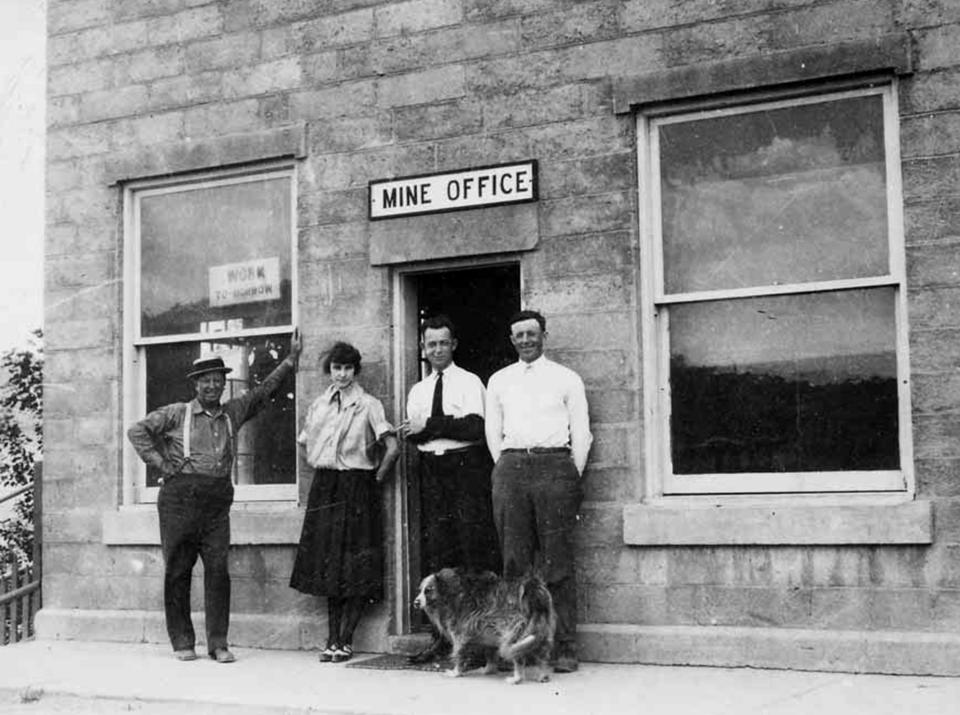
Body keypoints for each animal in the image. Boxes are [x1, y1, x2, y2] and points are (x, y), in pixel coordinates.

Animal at [410, 568, 556, 684]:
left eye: (428, 590)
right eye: (420, 590)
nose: (415, 602)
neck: (449, 594)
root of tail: (532, 588)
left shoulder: (459, 632)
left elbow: (459, 652)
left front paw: (456, 671)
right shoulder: (488, 632)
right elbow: (490, 652)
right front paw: (489, 669)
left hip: (512, 630)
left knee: (517, 654)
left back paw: (517, 677)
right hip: (540, 627)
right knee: (542, 653)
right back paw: (543, 674)